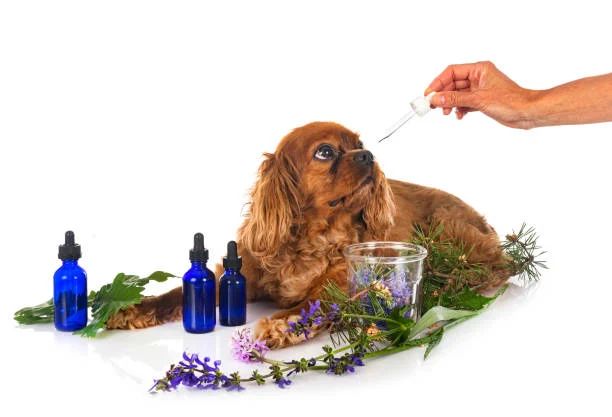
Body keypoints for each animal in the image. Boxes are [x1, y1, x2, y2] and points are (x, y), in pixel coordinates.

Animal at [106, 121, 506, 348]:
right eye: (326, 152)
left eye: (360, 144)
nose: (368, 155)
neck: (313, 239)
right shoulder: (239, 279)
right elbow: (174, 294)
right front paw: (130, 308)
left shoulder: (340, 284)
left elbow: (313, 303)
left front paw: (284, 324)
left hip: (447, 229)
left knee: (497, 267)